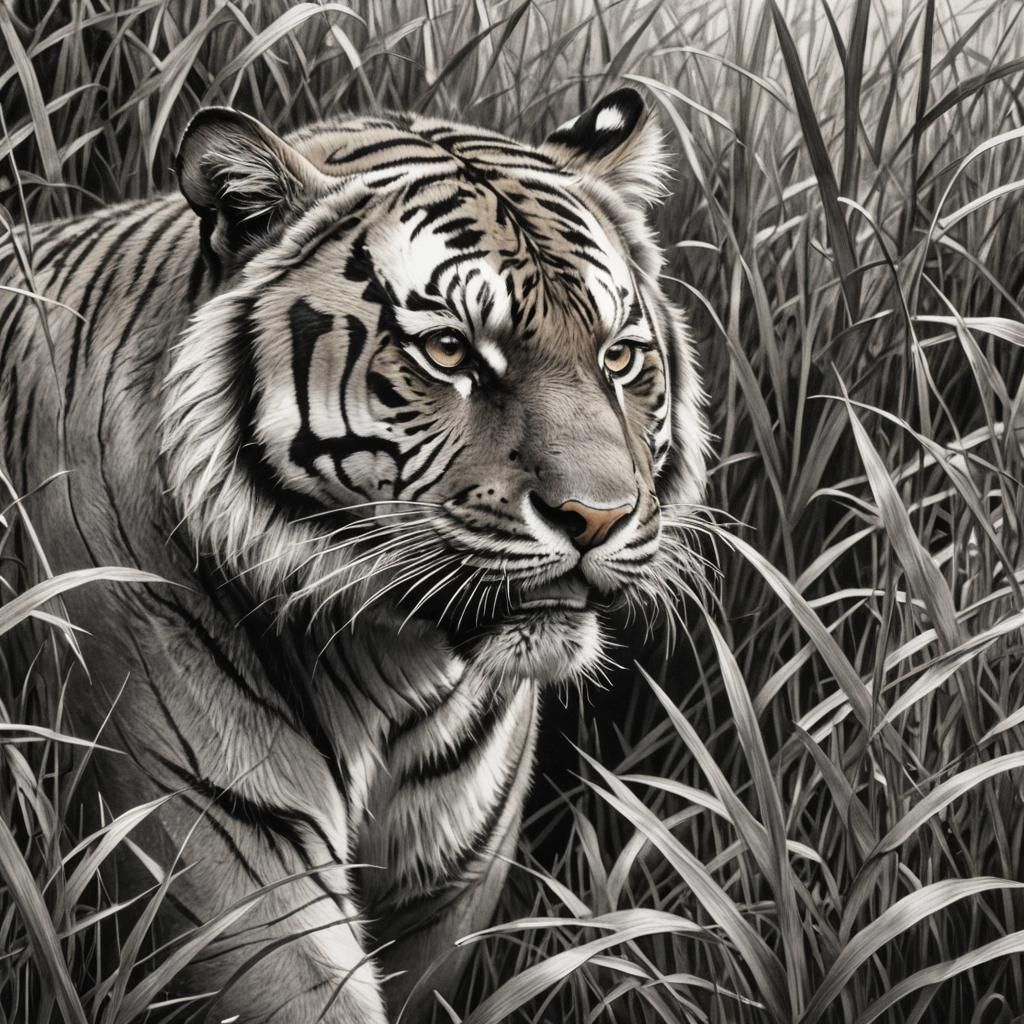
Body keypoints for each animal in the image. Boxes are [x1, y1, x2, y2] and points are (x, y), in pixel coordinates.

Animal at [0, 87, 708, 1021]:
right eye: (449, 352)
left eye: (619, 357)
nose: (596, 516)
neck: (398, 668)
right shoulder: (226, 861)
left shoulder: (446, 892)